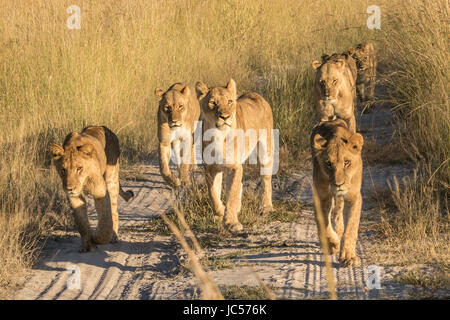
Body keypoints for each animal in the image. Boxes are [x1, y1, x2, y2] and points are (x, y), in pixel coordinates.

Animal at [196, 79, 274, 231]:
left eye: (230, 102)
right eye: (213, 103)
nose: (225, 117)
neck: (218, 135)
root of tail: (256, 95)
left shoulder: (233, 166)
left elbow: (231, 192)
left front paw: (231, 222)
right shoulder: (210, 168)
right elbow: (213, 193)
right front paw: (219, 213)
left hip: (266, 150)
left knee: (266, 179)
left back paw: (266, 207)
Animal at [312, 119, 364, 266]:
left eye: (346, 162)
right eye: (329, 164)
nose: (338, 184)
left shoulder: (354, 197)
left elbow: (351, 228)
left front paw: (348, 257)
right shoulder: (322, 196)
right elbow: (324, 224)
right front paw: (332, 244)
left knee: (339, 210)